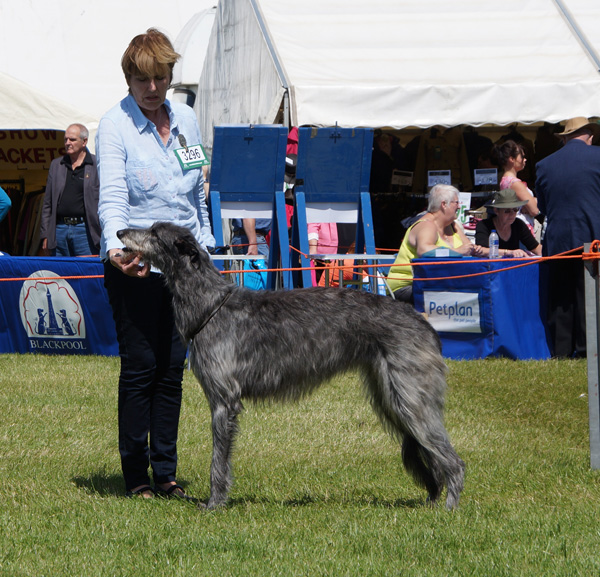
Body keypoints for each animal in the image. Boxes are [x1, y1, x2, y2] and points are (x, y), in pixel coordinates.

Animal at [116, 220, 464, 508]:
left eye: (155, 232)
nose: (119, 232)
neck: (211, 304)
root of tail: (423, 323)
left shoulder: (224, 402)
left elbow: (218, 460)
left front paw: (214, 504)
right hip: (390, 396)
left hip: (411, 397)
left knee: (453, 460)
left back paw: (449, 508)